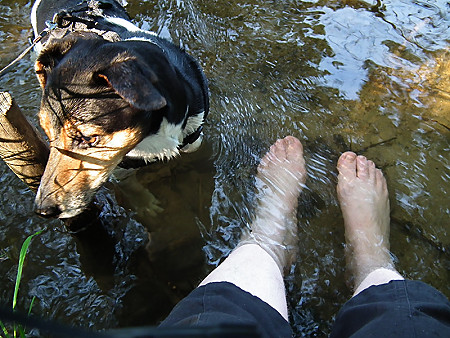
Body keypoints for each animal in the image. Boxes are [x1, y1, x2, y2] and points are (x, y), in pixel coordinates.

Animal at [29, 0, 209, 219]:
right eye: (47, 134)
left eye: (88, 138)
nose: (42, 210)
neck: (152, 135)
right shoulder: (118, 168)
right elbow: (132, 188)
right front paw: (146, 205)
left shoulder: (193, 138)